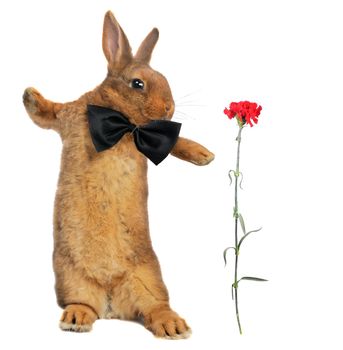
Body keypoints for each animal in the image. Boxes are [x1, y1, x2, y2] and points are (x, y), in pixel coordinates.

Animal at [22, 10, 215, 340]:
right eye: (138, 83)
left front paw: (204, 155)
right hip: (70, 278)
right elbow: (49, 111)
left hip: (149, 280)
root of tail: (111, 302)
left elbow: (175, 141)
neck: (122, 124)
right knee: (83, 304)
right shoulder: (69, 116)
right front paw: (30, 95)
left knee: (155, 307)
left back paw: (174, 326)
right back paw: (76, 318)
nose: (169, 108)